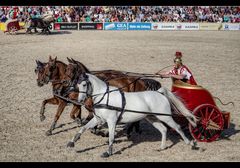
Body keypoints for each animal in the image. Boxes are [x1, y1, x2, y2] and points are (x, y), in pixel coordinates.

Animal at [66, 73, 198, 158]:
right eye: (77, 84)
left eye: (84, 84)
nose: (81, 100)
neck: (104, 97)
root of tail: (159, 92)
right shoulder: (98, 119)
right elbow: (83, 128)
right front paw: (72, 142)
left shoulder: (111, 121)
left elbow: (111, 137)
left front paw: (108, 153)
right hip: (152, 118)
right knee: (164, 129)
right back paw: (162, 147)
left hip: (165, 117)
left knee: (177, 127)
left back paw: (191, 144)